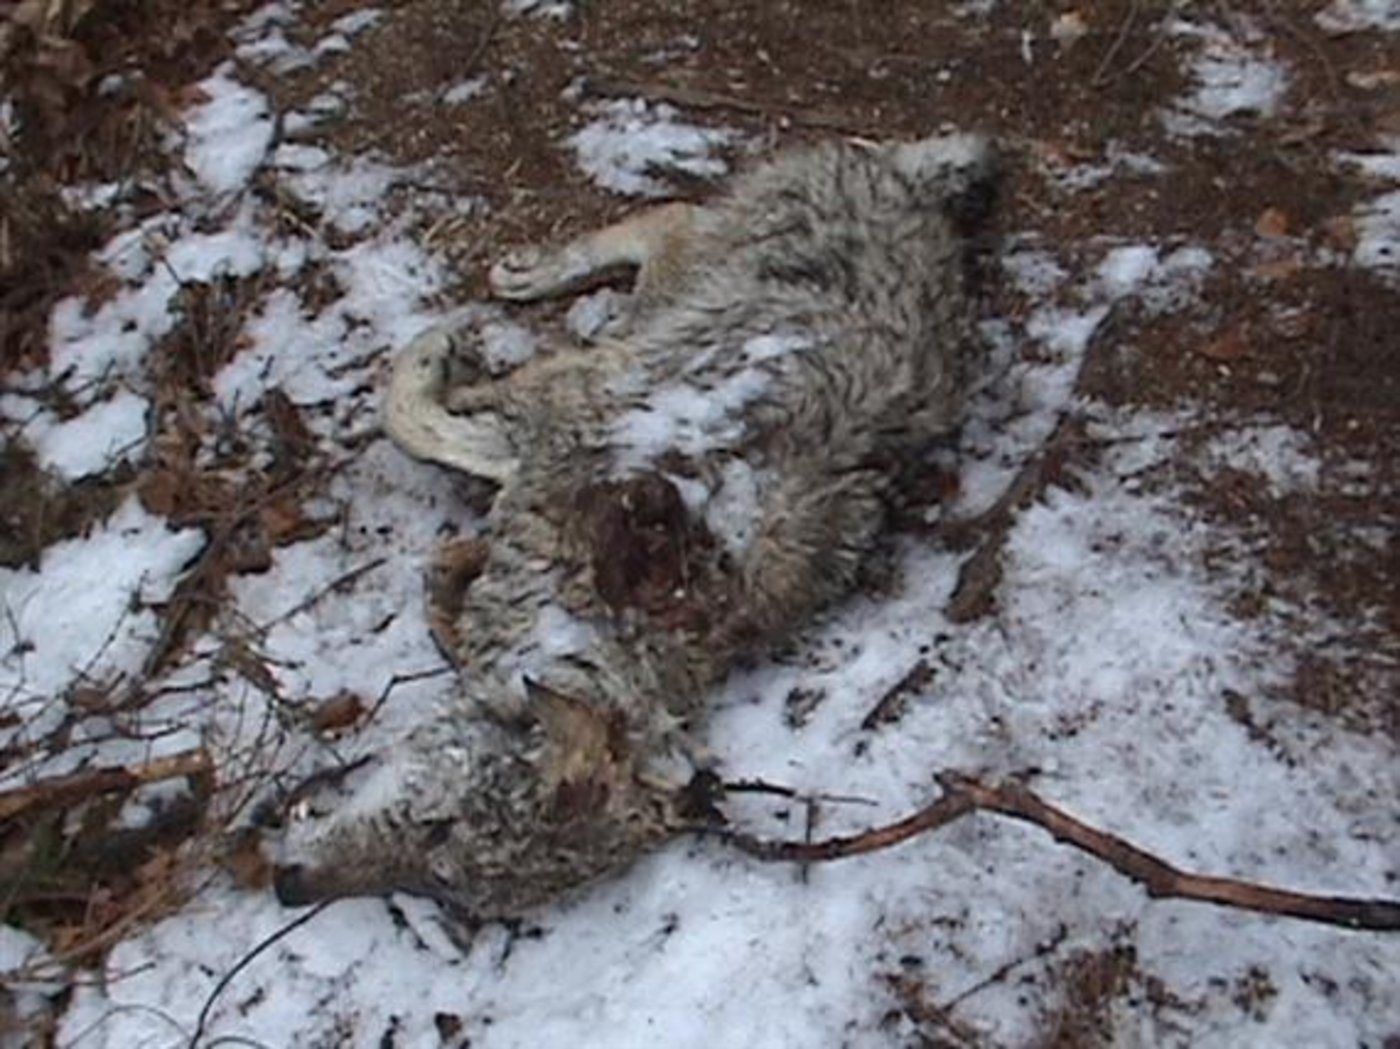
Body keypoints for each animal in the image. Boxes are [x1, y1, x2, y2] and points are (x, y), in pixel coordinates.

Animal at [271, 131, 996, 919]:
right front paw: (444, 350)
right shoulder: (564, 407)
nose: (287, 885)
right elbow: (411, 413)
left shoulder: (549, 428)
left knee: (675, 222)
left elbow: (423, 450)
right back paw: (532, 274)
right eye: (438, 829)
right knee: (673, 218)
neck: (593, 613)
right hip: (691, 290)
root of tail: (912, 188)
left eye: (445, 876)